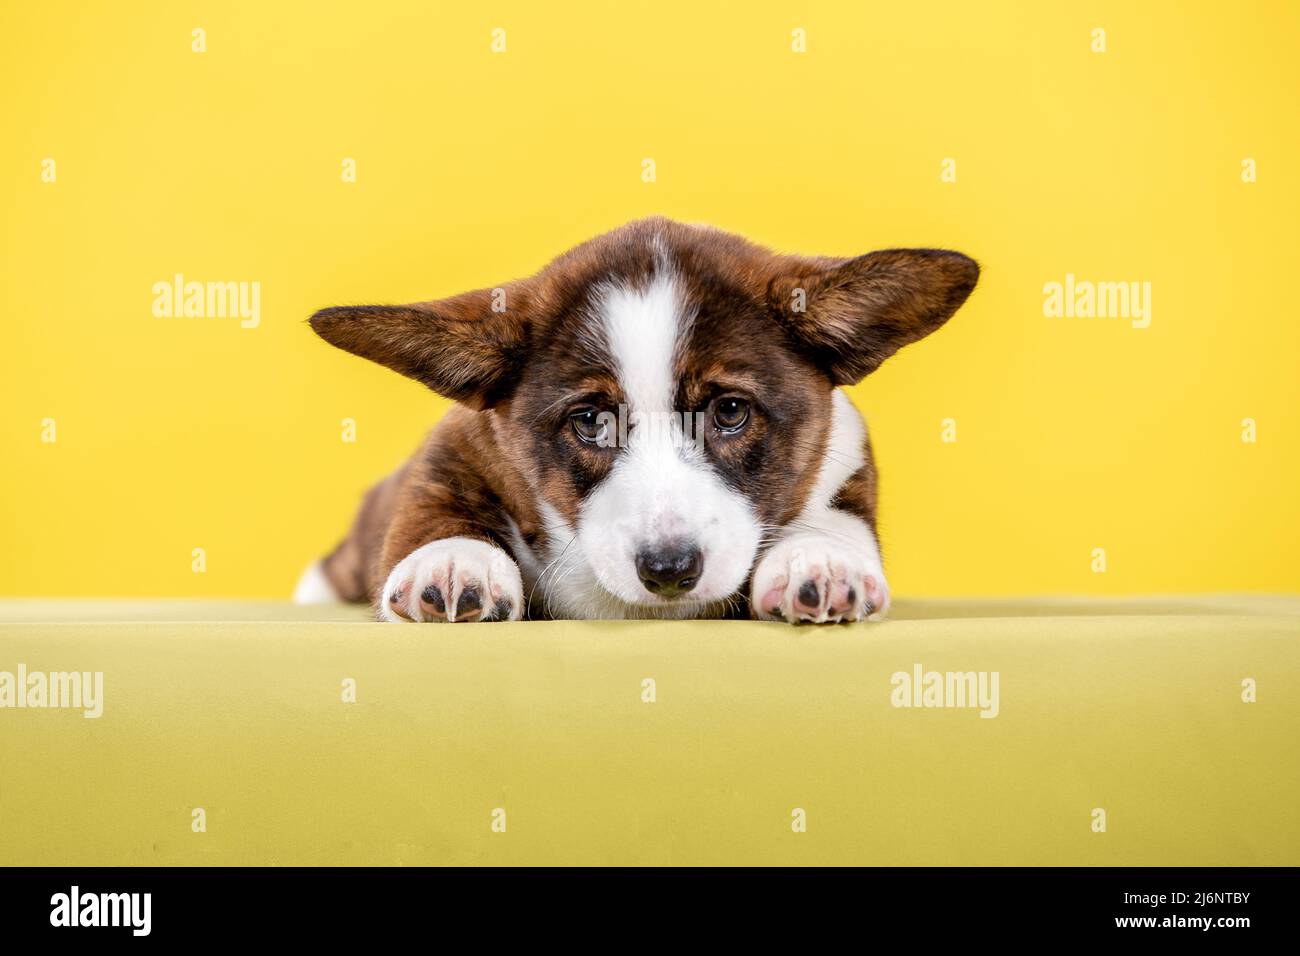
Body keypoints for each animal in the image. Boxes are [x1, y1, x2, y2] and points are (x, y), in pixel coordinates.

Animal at [297, 221, 977, 629]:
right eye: (591, 421)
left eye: (730, 412)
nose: (669, 571)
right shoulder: (458, 445)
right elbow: (433, 507)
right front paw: (451, 563)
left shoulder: (845, 457)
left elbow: (831, 518)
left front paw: (822, 562)